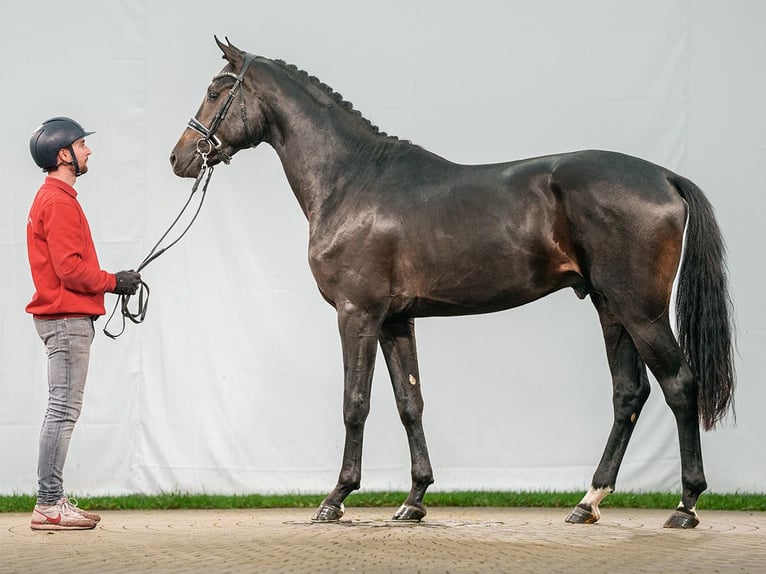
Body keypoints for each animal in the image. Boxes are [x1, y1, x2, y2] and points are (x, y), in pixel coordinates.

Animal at [170, 37, 736, 532]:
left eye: (217, 91)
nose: (180, 158)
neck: (351, 180)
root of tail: (665, 177)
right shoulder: (396, 320)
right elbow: (410, 403)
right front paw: (414, 500)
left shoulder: (357, 314)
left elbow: (356, 402)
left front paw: (336, 499)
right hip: (609, 306)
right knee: (629, 394)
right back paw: (588, 502)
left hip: (640, 310)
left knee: (679, 386)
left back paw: (685, 506)